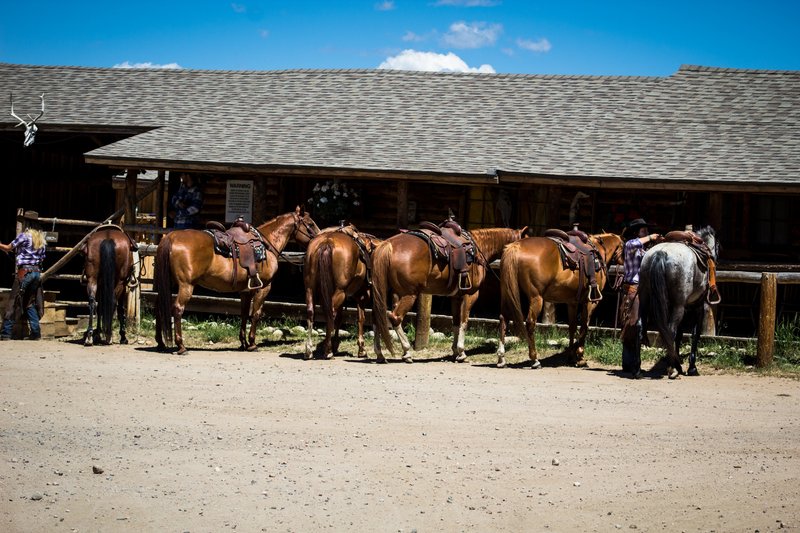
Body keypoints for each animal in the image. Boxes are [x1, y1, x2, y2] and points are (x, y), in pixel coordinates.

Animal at [153, 207, 318, 354]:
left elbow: (244, 314)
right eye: (310, 224)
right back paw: (181, 346)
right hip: (186, 286)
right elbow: (256, 313)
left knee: (160, 307)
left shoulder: (245, 291)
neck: (267, 244)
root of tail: (170, 238)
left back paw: (160, 342)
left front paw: (243, 343)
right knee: (177, 309)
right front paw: (252, 343)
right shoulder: (264, 287)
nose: (318, 237)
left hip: (168, 283)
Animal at [304, 222, 382, 360]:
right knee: (331, 313)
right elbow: (361, 318)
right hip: (340, 291)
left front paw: (336, 344)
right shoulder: (361, 296)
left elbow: (340, 318)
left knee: (312, 312)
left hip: (311, 288)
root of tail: (327, 242)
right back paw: (328, 350)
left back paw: (309, 350)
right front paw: (361, 349)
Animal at [372, 224, 528, 362]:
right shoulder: (470, 295)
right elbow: (464, 322)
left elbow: (456, 323)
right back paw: (406, 351)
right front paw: (461, 353)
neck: (479, 248)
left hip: (387, 292)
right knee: (395, 317)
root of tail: (387, 244)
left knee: (379, 317)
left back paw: (380, 354)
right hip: (409, 294)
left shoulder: (456, 297)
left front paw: (454, 351)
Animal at [494, 231, 624, 368]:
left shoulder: (572, 302)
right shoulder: (590, 302)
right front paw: (580, 357)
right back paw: (535, 359)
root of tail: (516, 247)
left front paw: (571, 357)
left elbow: (572, 326)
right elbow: (584, 326)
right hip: (536, 298)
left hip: (507, 293)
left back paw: (501, 358)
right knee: (530, 323)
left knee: (503, 318)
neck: (598, 251)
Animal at [636, 224, 720, 378]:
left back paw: (638, 369)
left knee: (641, 327)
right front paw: (692, 368)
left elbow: (680, 335)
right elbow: (694, 334)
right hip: (678, 307)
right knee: (670, 330)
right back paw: (673, 369)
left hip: (645, 302)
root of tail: (660, 254)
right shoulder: (697, 306)